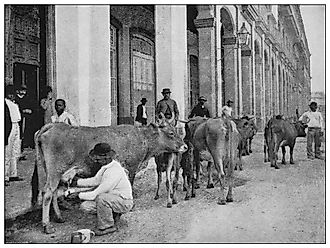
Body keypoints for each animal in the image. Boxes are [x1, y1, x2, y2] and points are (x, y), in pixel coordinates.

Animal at [31, 122, 187, 234]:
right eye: (171, 133)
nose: (185, 146)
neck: (143, 139)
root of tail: (53, 125)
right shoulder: (131, 167)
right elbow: (130, 186)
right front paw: (131, 206)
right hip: (55, 171)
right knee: (47, 193)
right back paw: (47, 226)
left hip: (50, 170)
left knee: (53, 192)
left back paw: (59, 217)